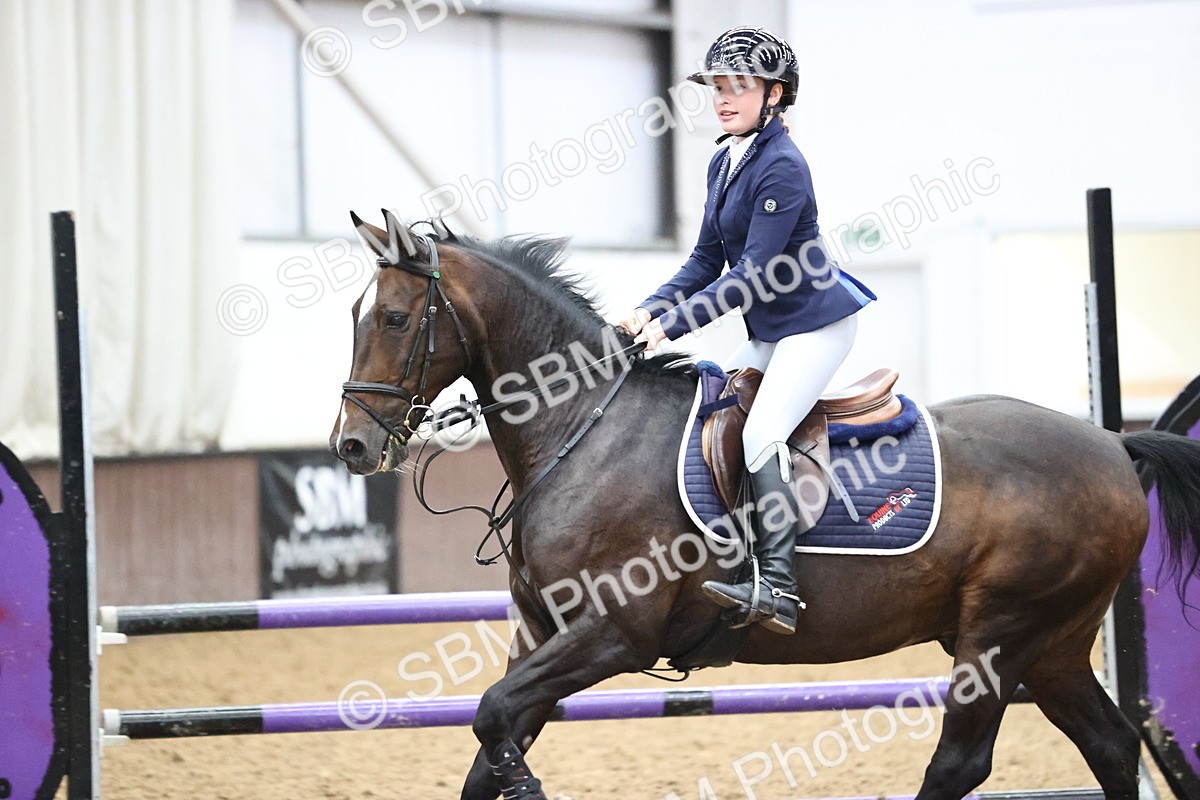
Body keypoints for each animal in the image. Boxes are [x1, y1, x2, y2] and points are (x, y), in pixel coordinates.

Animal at [329, 211, 1200, 800]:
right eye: (355, 316)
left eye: (396, 318)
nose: (352, 448)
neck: (583, 426)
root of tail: (1112, 446)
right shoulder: (543, 633)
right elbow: (490, 743)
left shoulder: (612, 635)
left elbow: (490, 718)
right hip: (1052, 644)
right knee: (1112, 745)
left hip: (1003, 633)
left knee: (962, 761)